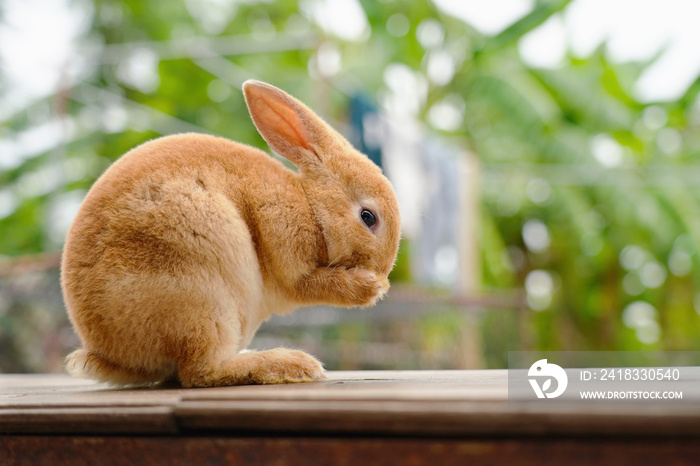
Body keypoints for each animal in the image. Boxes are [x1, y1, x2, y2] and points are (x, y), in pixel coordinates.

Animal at [61, 81, 400, 390]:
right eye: (368, 217)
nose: (381, 270)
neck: (311, 207)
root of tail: (111, 357)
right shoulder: (285, 245)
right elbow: (309, 284)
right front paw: (372, 287)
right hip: (203, 297)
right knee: (200, 372)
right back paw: (291, 364)